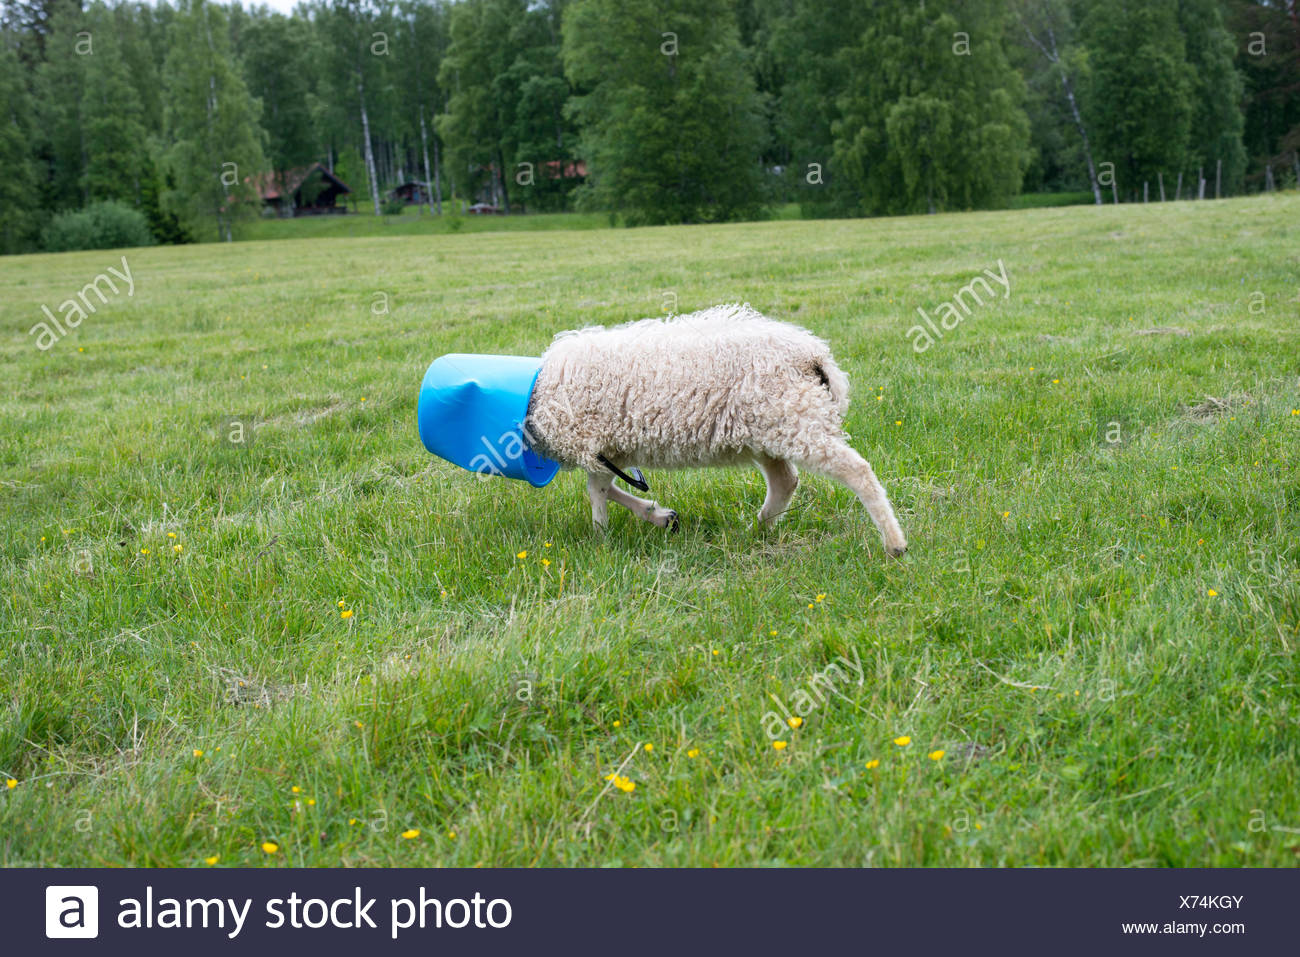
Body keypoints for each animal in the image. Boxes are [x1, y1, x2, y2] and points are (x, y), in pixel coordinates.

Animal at [522, 302, 909, 556]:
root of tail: (815, 356)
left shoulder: (596, 444)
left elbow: (597, 492)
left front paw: (600, 537)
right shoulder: (611, 450)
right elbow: (604, 487)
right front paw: (659, 516)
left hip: (796, 421)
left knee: (856, 470)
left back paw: (894, 543)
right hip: (769, 431)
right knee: (785, 481)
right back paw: (759, 528)